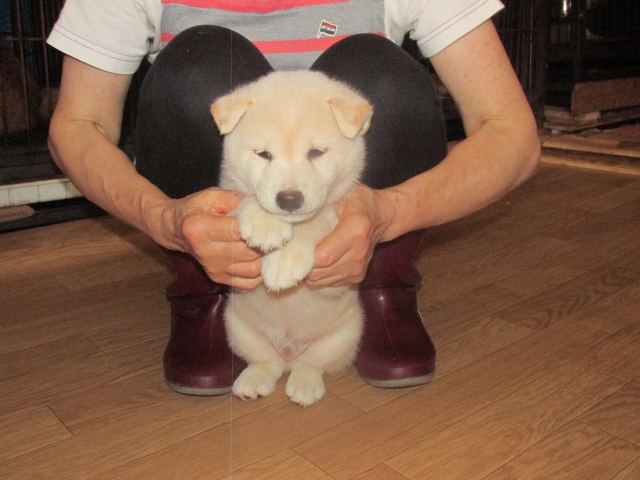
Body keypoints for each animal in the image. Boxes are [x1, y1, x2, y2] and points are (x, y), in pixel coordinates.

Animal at [210, 71, 373, 406]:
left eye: (316, 153)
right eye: (264, 154)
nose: (288, 199)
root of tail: (288, 352)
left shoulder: (337, 213)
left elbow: (315, 222)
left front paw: (283, 263)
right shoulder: (228, 198)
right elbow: (247, 200)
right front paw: (264, 225)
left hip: (344, 335)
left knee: (311, 364)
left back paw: (304, 386)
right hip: (237, 327)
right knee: (265, 361)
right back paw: (254, 381)